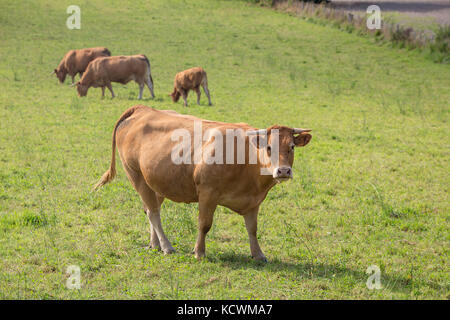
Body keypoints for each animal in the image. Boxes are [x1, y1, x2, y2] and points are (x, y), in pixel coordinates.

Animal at [91, 106, 310, 262]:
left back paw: (155, 244)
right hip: (136, 176)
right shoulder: (208, 193)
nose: (283, 171)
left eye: (292, 146)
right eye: (269, 147)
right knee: (153, 213)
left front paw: (258, 254)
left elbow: (252, 229)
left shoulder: (253, 201)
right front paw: (199, 252)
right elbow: (204, 225)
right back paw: (167, 246)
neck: (245, 157)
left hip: (155, 182)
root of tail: (142, 110)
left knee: (149, 210)